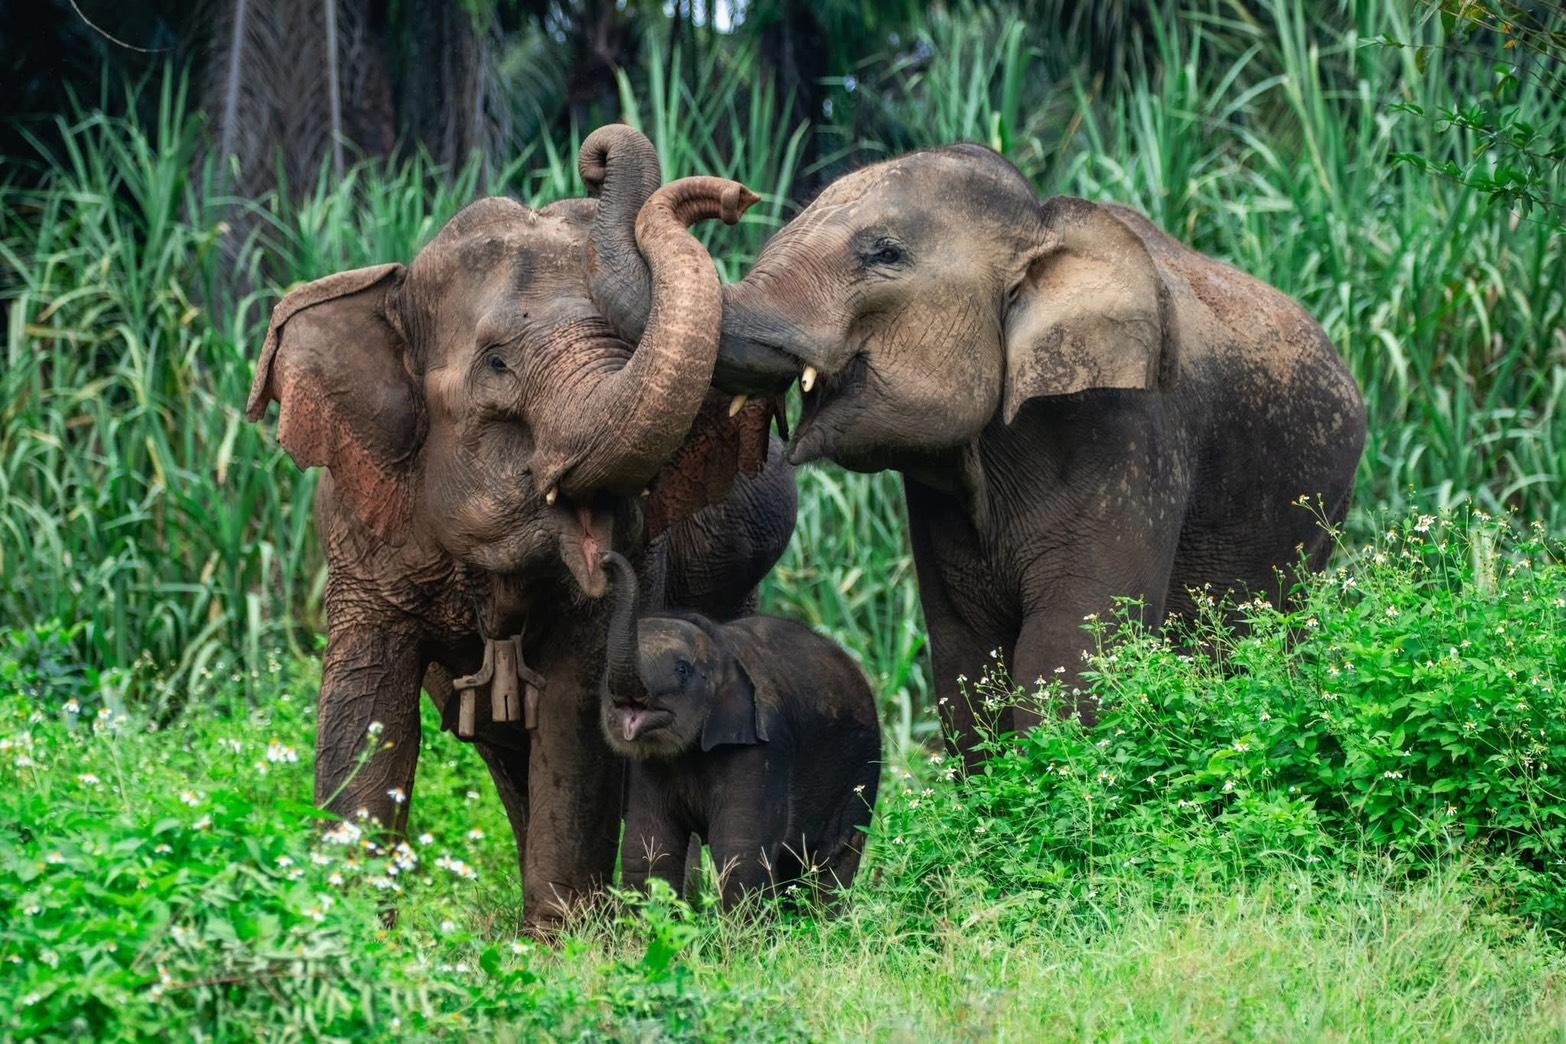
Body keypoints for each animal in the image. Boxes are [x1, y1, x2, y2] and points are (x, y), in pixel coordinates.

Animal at [246, 124, 794, 931]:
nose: (739, 197)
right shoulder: (361, 529)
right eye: (498, 365)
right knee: (503, 747)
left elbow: (577, 714)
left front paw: (565, 942)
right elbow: (365, 708)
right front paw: (349, 926)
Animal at [598, 552, 880, 910]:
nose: (604, 560)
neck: (721, 648)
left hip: (862, 768)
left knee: (834, 856)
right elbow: (649, 846)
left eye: (682, 670)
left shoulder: (764, 745)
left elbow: (740, 849)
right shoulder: (649, 765)